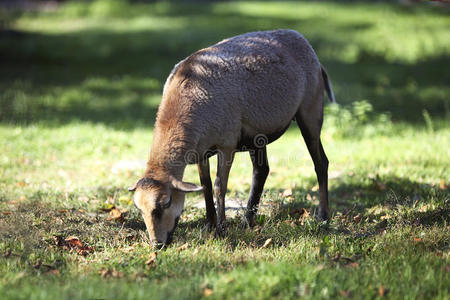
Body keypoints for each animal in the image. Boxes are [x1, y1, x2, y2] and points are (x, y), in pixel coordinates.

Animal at [128, 29, 336, 247]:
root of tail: (305, 42)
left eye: (165, 203)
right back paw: (247, 221)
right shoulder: (201, 150)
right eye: (139, 209)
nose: (157, 244)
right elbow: (205, 185)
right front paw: (209, 225)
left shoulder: (226, 143)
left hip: (311, 109)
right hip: (258, 133)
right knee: (261, 170)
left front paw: (221, 230)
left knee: (321, 162)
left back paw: (323, 217)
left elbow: (220, 186)